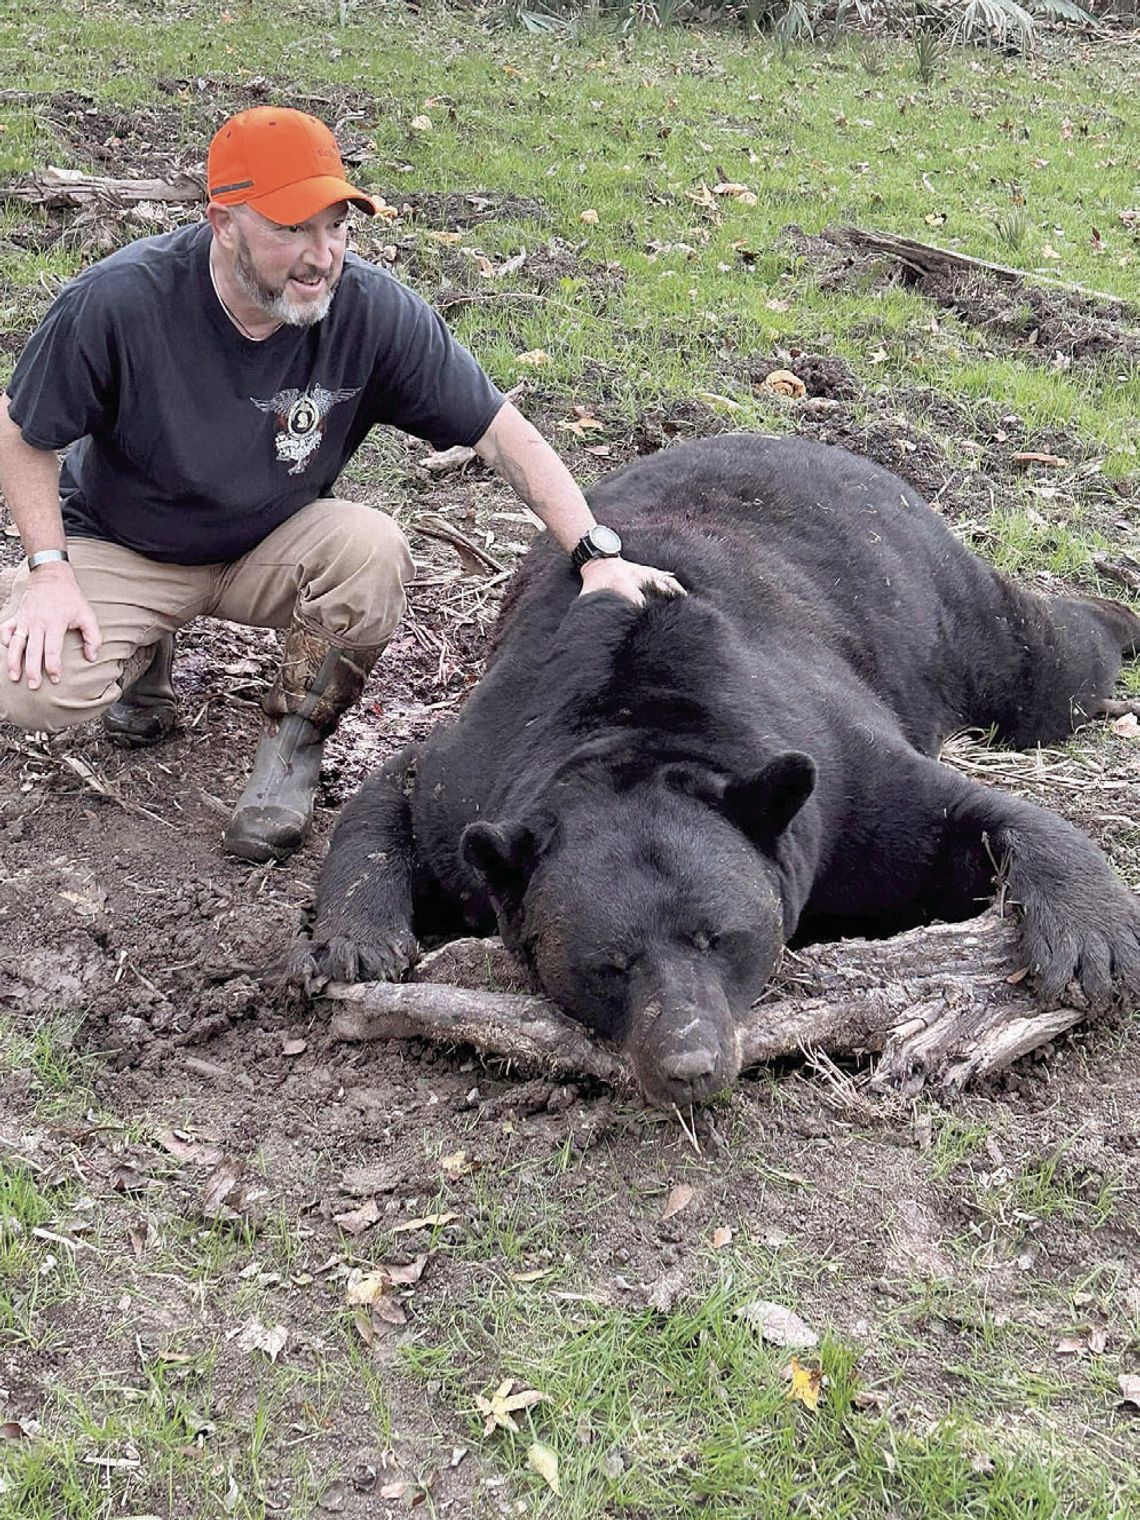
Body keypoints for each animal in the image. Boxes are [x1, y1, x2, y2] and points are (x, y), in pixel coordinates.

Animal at [294, 437, 1140, 1106]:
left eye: (718, 938)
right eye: (610, 964)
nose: (688, 1064)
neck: (637, 723)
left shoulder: (830, 775)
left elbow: (953, 814)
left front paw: (1090, 941)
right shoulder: (483, 769)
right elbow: (401, 788)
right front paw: (358, 938)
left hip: (938, 604)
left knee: (1044, 665)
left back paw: (1116, 614)